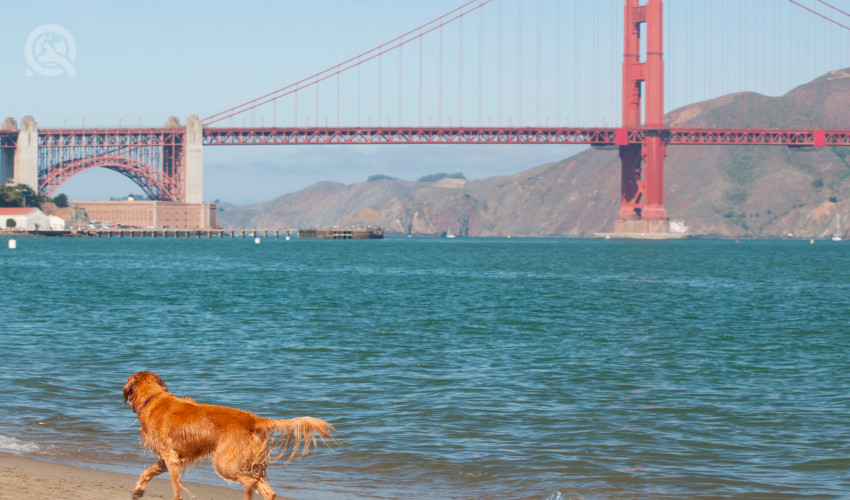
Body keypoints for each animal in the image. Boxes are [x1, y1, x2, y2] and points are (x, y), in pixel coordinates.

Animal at [122, 370, 334, 500]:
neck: (153, 398)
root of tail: (254, 420)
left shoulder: (170, 457)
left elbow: (175, 488)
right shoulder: (167, 458)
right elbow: (148, 471)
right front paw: (139, 489)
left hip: (225, 463)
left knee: (250, 483)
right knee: (268, 491)